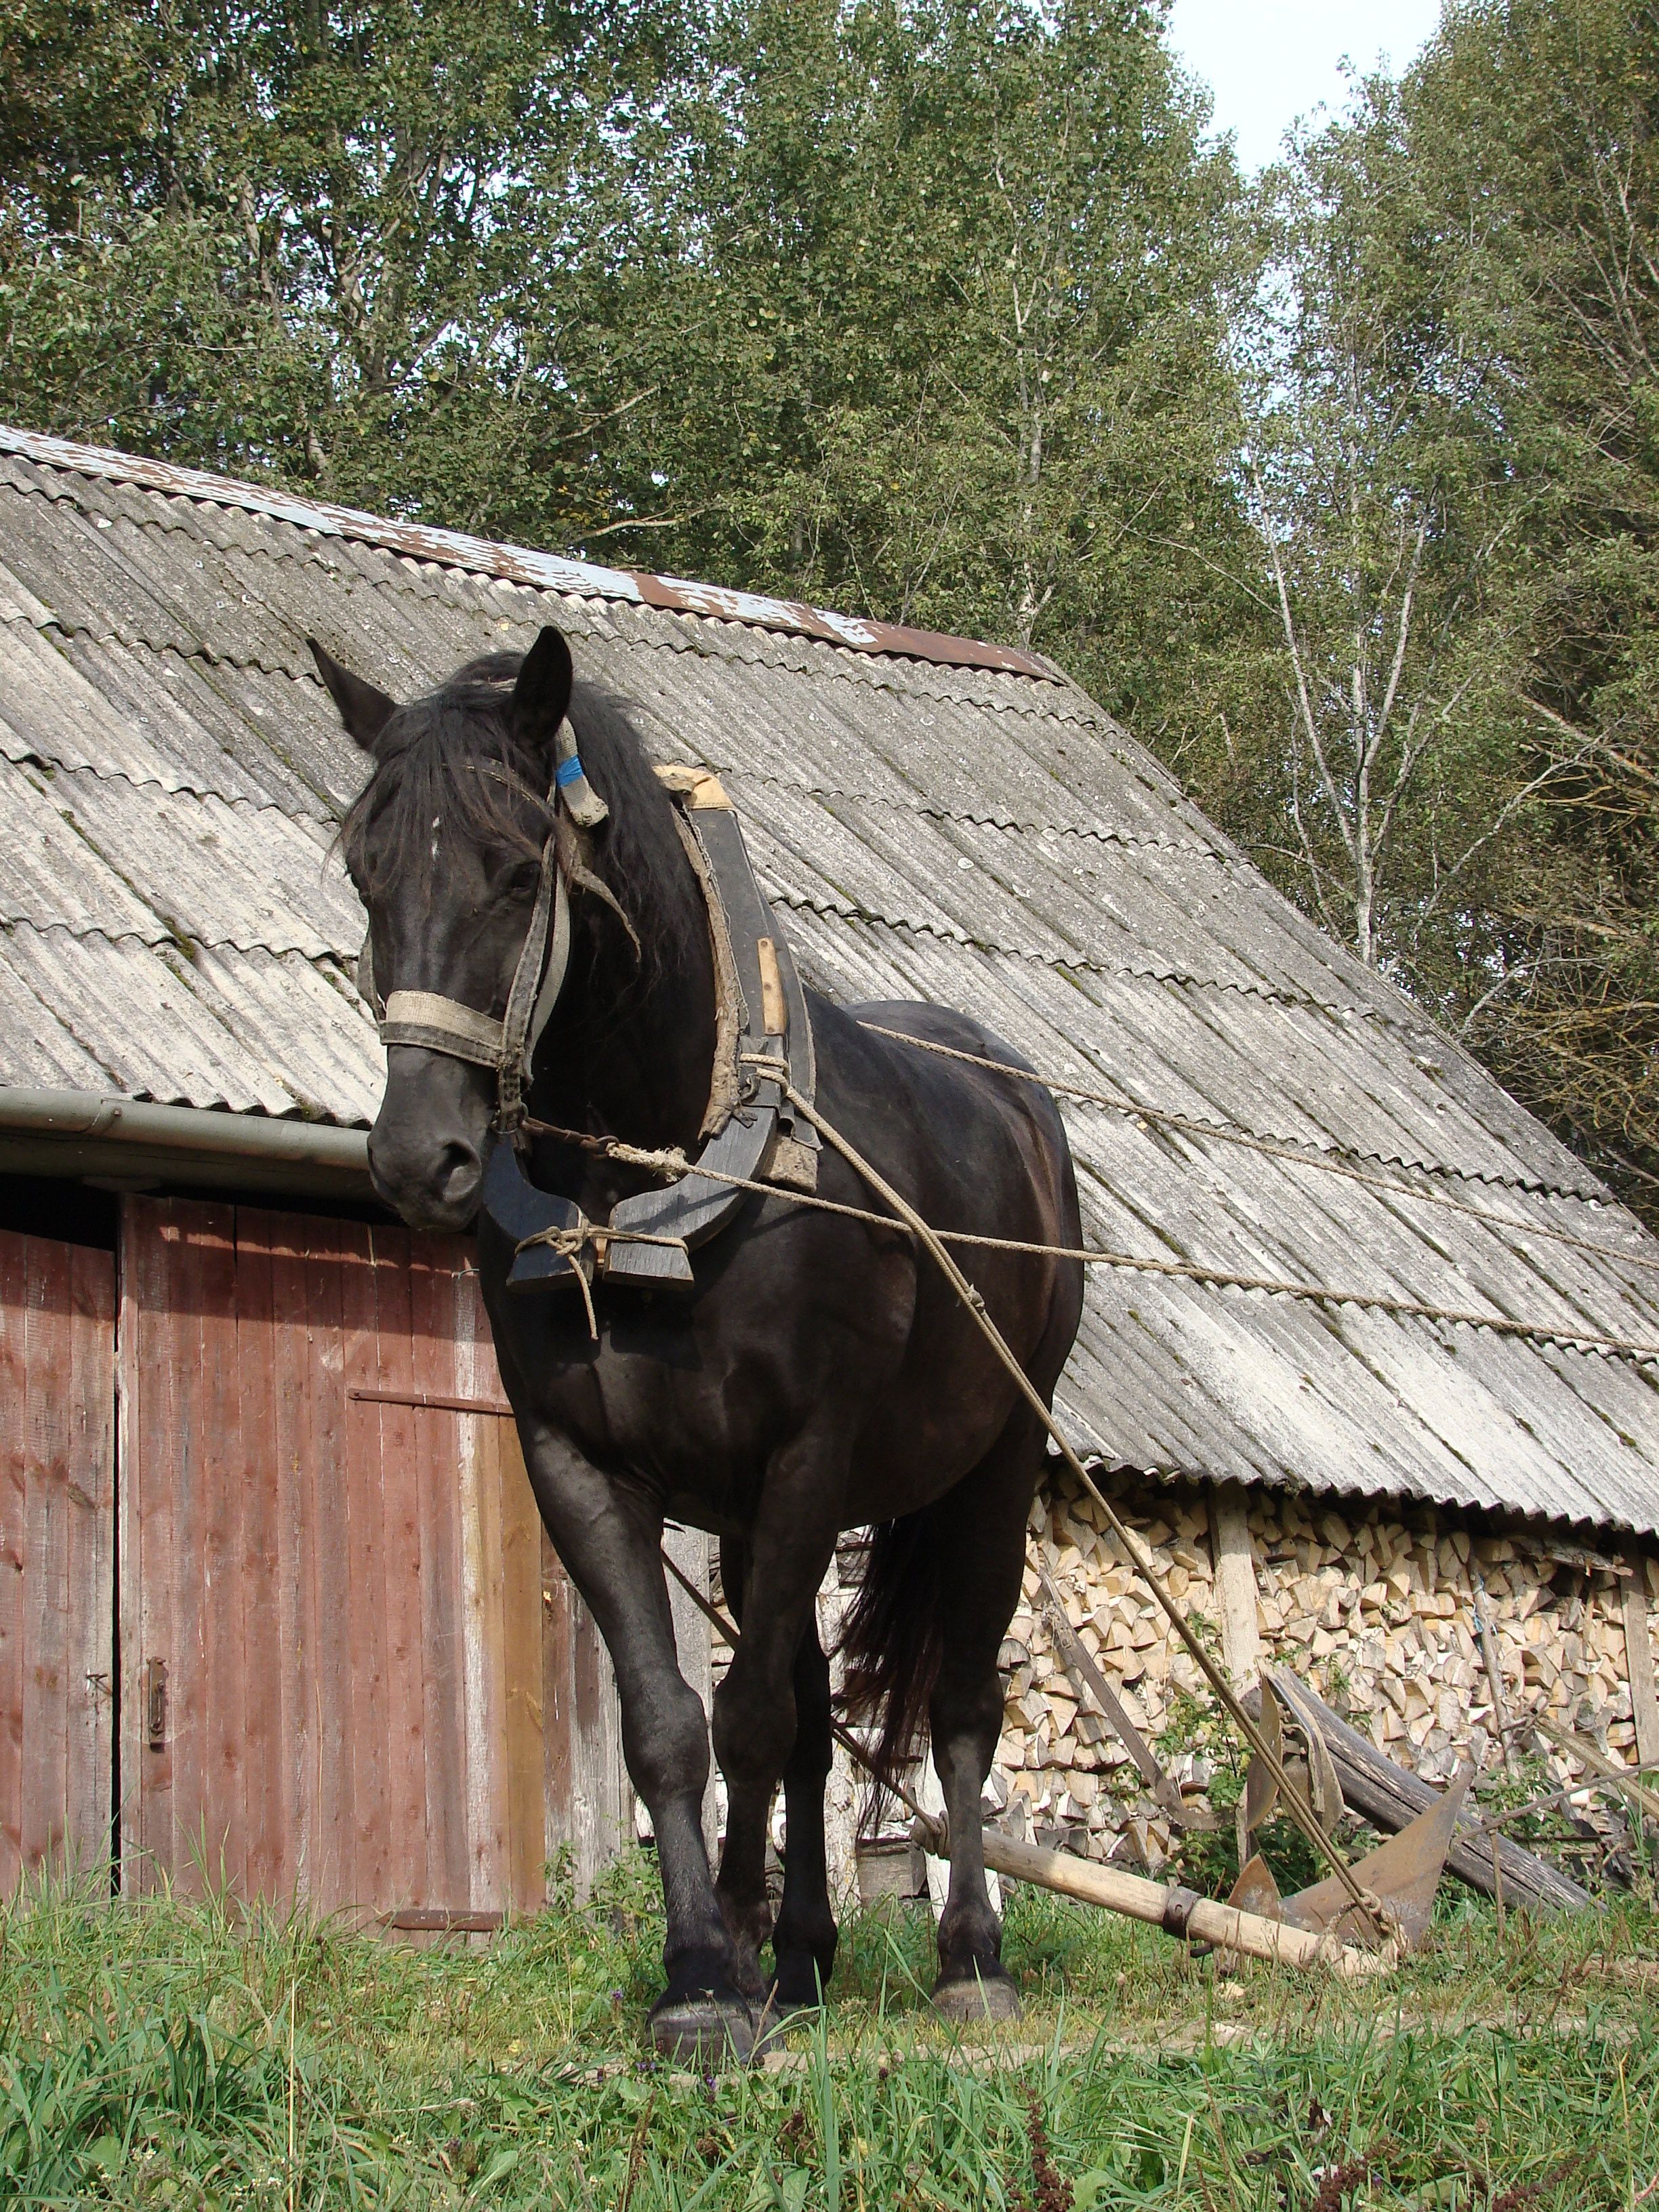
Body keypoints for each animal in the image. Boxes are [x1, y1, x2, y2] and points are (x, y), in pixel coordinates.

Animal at [315, 622, 1084, 2061]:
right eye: (365, 872)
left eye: (518, 872)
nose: (416, 1158)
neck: (657, 1165)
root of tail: (1016, 1098)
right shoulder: (580, 1464)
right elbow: (674, 1722)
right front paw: (702, 1974)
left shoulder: (806, 1455)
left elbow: (750, 1718)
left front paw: (731, 1949)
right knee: (813, 1725)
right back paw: (803, 1954)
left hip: (987, 1468)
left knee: (957, 1706)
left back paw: (968, 1954)